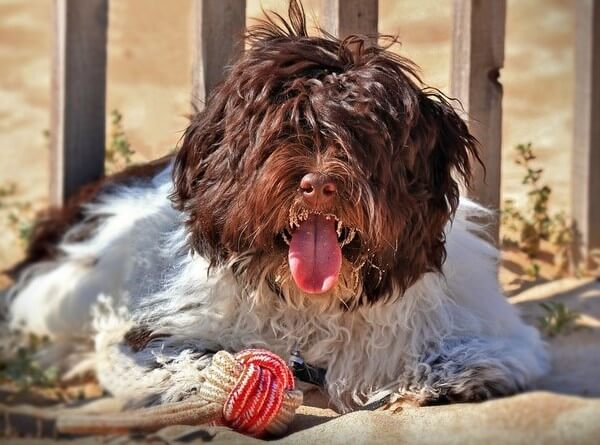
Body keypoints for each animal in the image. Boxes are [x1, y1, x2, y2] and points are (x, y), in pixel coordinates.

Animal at [4, 1, 548, 412]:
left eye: (365, 136)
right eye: (284, 130)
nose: (320, 185)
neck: (313, 306)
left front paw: (452, 373)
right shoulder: (153, 327)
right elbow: (161, 356)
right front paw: (212, 373)